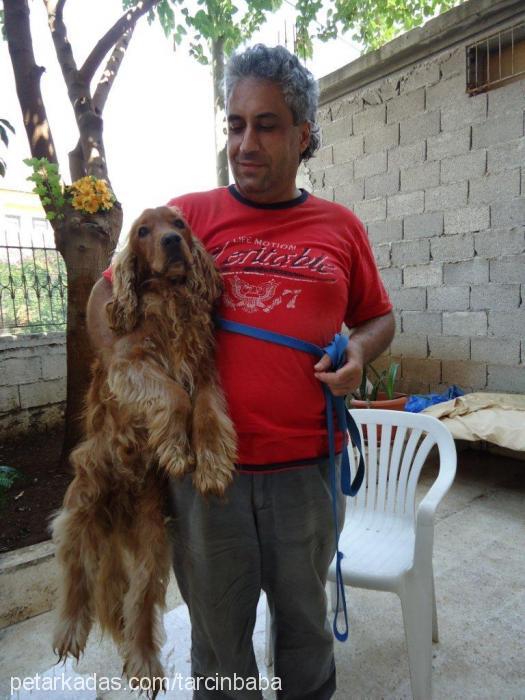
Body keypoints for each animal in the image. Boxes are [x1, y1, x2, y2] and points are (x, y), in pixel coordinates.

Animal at [51, 206, 235, 696]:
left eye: (180, 224)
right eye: (143, 232)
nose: (172, 242)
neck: (168, 299)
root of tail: (116, 515)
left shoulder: (203, 372)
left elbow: (204, 413)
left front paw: (211, 463)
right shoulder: (129, 364)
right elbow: (172, 395)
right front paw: (175, 448)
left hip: (153, 541)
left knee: (138, 601)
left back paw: (145, 662)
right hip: (82, 500)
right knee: (74, 570)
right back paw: (70, 629)